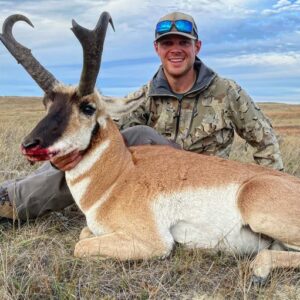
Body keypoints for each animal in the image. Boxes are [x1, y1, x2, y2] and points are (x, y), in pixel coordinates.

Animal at [1, 12, 300, 284]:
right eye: (47, 104)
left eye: (88, 107)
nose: (29, 145)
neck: (119, 175)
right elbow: (84, 233)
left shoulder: (153, 242)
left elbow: (80, 244)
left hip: (256, 205)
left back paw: (258, 270)